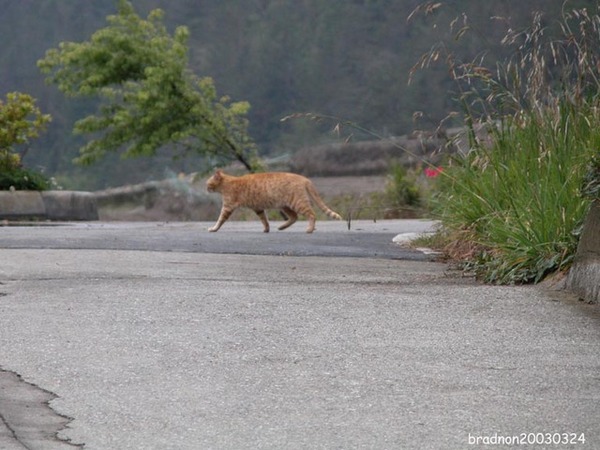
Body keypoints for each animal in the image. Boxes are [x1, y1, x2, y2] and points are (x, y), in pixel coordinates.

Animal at [205, 168, 342, 234]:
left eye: (208, 183)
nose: (205, 187)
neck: (227, 183)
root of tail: (303, 178)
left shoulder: (227, 207)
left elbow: (220, 220)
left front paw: (213, 228)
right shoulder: (258, 208)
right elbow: (264, 220)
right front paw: (267, 229)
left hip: (298, 203)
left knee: (312, 214)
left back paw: (309, 229)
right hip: (285, 206)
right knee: (294, 217)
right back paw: (282, 227)